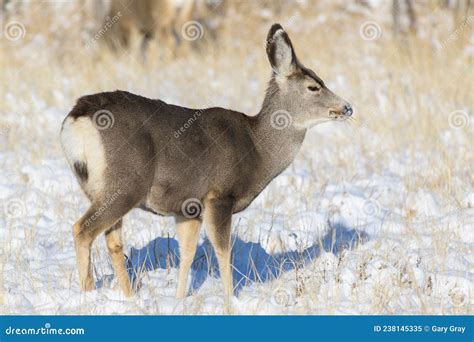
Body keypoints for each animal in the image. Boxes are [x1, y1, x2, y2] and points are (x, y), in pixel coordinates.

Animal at [60, 24, 352, 300]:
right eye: (313, 87)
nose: (348, 107)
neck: (258, 150)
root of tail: (77, 117)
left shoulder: (188, 208)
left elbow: (187, 253)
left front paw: (179, 299)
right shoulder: (219, 196)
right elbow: (223, 252)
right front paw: (229, 299)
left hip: (99, 188)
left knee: (112, 240)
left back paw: (129, 297)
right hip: (126, 182)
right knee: (82, 229)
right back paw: (88, 294)